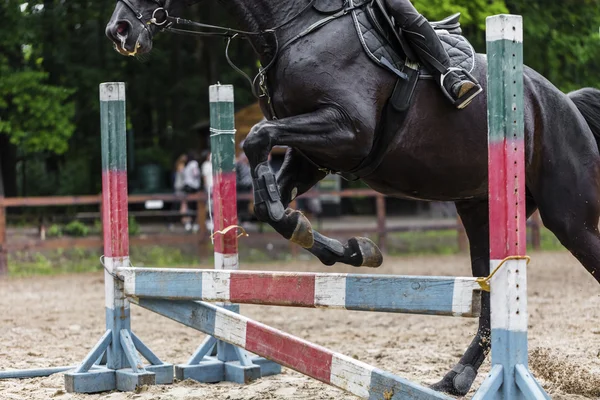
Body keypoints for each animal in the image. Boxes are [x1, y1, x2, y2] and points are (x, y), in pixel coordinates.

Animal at [105, 0, 600, 394]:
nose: (119, 31)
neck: (293, 27)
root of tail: (561, 101)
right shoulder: (314, 155)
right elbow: (267, 201)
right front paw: (348, 248)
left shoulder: (347, 131)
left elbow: (258, 138)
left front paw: (338, 243)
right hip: (481, 213)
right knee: (488, 295)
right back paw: (455, 379)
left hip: (569, 216)